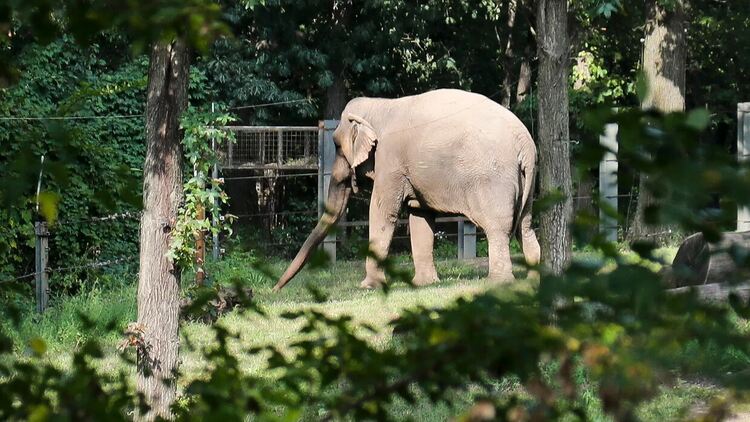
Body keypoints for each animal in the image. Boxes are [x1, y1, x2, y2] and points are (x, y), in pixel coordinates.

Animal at [273, 88, 540, 291]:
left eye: (337, 146)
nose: (276, 289)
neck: (380, 105)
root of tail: (525, 144)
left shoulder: (389, 161)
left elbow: (382, 212)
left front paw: (368, 286)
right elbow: (420, 217)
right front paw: (425, 284)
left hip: (493, 180)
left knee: (498, 228)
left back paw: (498, 282)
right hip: (525, 180)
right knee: (525, 226)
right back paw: (534, 278)